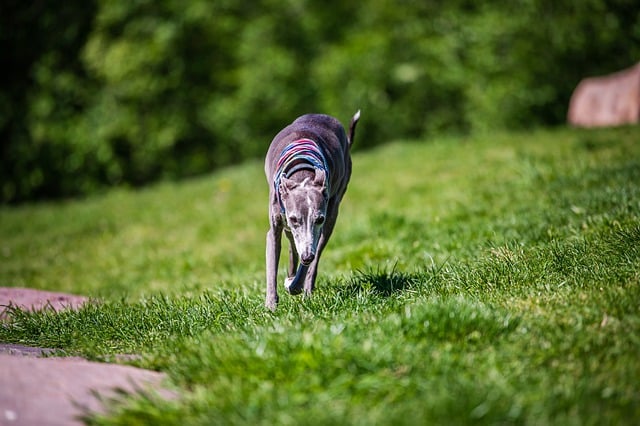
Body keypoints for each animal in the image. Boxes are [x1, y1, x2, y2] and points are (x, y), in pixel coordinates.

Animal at [264, 110, 360, 310]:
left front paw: (295, 285)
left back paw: (305, 287)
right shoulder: (277, 225)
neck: (302, 173)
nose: (307, 256)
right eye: (294, 219)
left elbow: (309, 260)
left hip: (334, 208)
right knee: (292, 243)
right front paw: (270, 304)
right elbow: (272, 265)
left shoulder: (320, 224)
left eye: (319, 219)